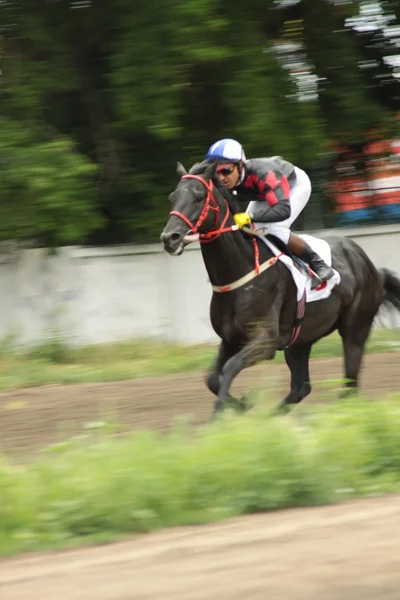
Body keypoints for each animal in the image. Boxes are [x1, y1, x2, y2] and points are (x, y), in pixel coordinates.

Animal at [159, 159, 400, 418]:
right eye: (172, 197)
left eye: (198, 197)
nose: (170, 238)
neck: (241, 272)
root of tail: (372, 268)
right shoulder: (230, 339)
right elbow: (212, 378)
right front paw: (244, 406)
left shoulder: (265, 341)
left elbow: (231, 367)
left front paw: (220, 415)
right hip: (300, 339)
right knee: (300, 387)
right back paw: (274, 415)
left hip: (355, 330)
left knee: (350, 386)